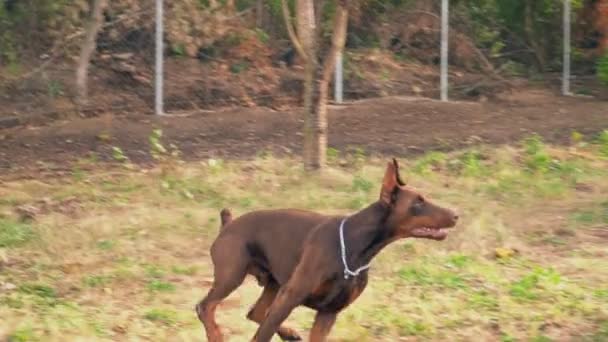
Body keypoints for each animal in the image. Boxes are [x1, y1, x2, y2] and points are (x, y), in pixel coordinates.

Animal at [197, 159, 458, 340]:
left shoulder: (328, 312)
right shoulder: (292, 297)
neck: (354, 247)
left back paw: (289, 333)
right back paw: (215, 335)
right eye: (418, 202)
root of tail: (228, 224)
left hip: (274, 282)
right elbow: (262, 335)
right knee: (205, 307)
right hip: (234, 274)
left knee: (255, 312)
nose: (456, 214)